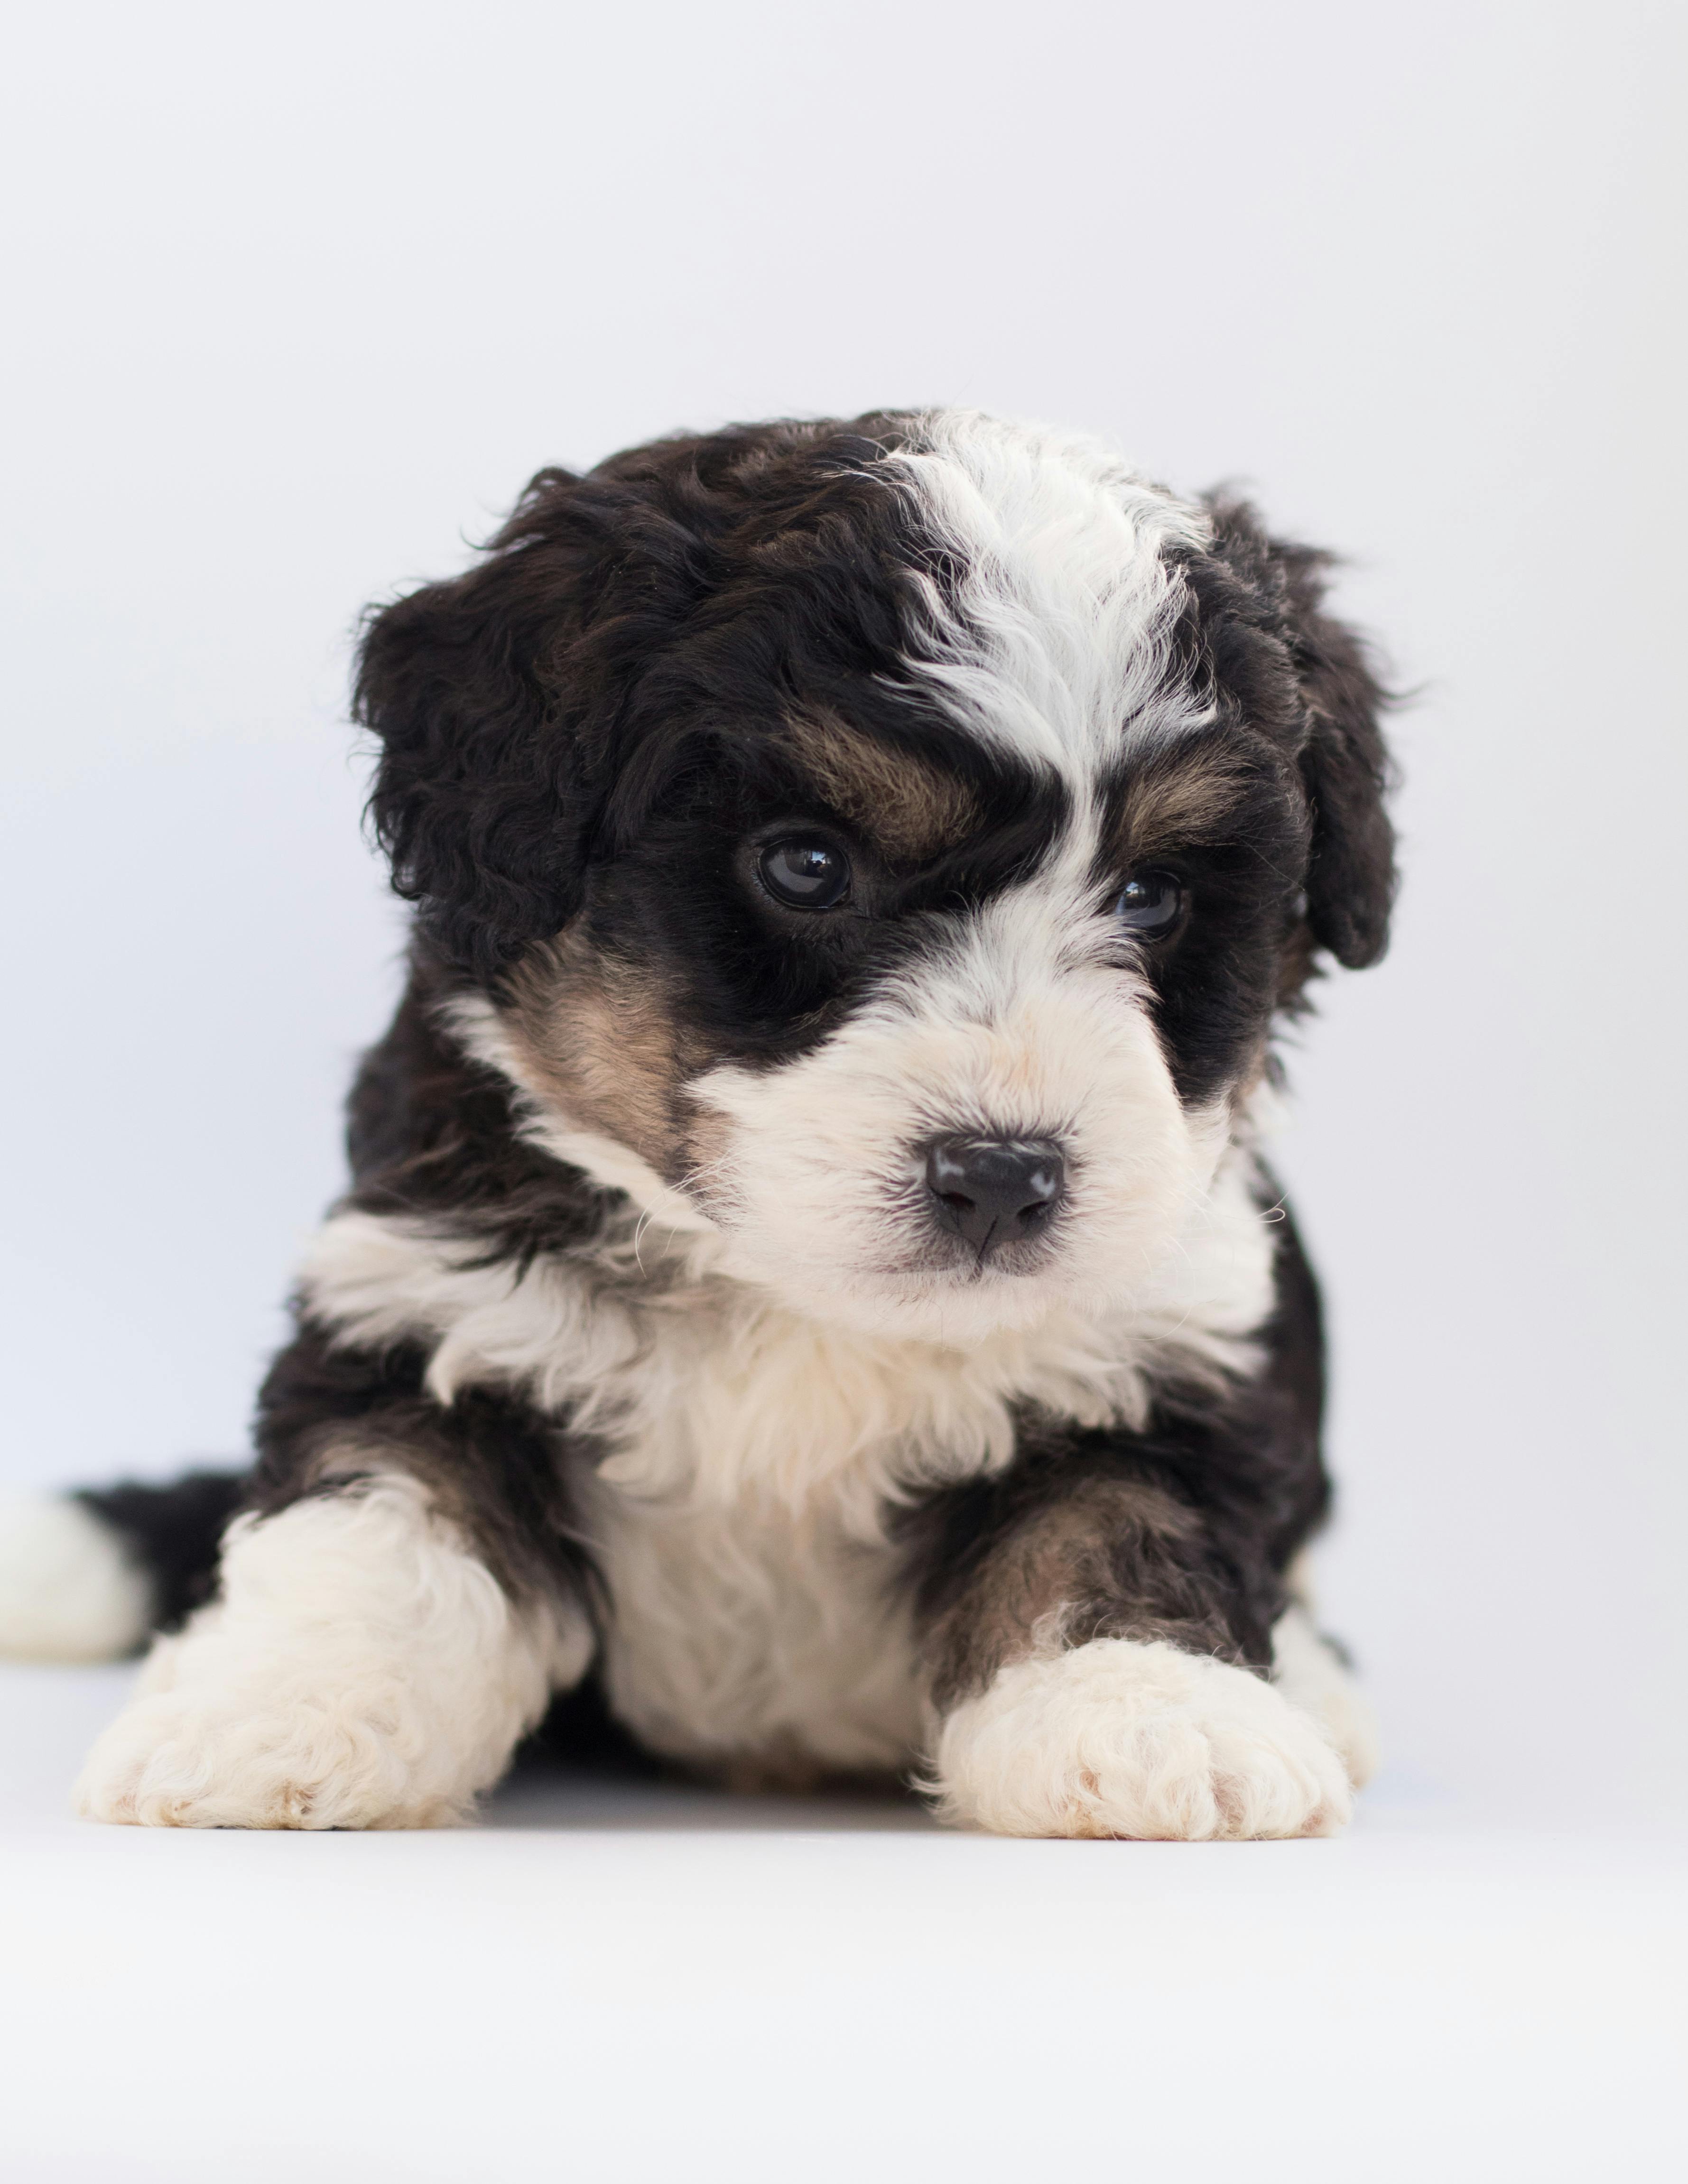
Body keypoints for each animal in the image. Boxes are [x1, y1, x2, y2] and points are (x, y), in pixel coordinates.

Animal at [3, 413, 1397, 1843]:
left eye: (1150, 895)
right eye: (805, 865)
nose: (1003, 1178)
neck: (789, 1299)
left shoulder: (1168, 1337)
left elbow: (1115, 1516)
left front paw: (1147, 1712)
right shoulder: (434, 1295)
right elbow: (382, 1512)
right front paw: (279, 1709)